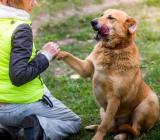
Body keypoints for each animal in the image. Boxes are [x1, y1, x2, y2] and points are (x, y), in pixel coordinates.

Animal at [57, 9, 159, 139]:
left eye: (111, 18)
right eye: (101, 15)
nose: (92, 21)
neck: (112, 50)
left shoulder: (114, 98)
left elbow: (104, 126)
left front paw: (97, 138)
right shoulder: (86, 69)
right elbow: (69, 55)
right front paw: (56, 52)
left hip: (145, 106)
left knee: (134, 130)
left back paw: (120, 135)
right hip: (102, 110)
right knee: (113, 128)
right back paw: (94, 127)